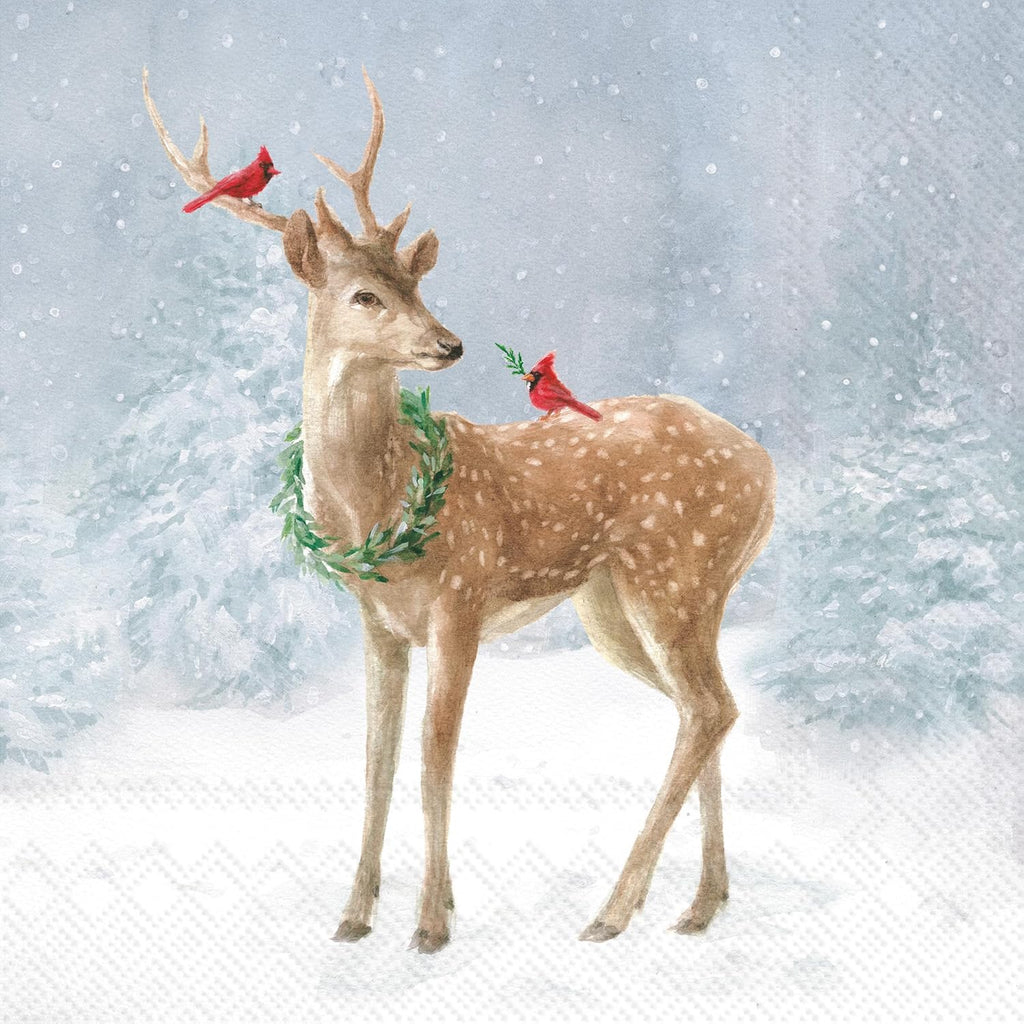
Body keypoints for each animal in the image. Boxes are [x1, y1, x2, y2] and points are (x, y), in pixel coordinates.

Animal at [143, 68, 776, 953]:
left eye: (419, 285)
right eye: (365, 294)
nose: (448, 344)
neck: (374, 508)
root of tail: (768, 470)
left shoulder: (461, 602)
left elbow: (434, 760)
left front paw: (431, 922)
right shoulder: (380, 624)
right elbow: (376, 763)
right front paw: (355, 916)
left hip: (673, 572)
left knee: (709, 707)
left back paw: (613, 910)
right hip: (626, 602)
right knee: (707, 709)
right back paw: (699, 904)